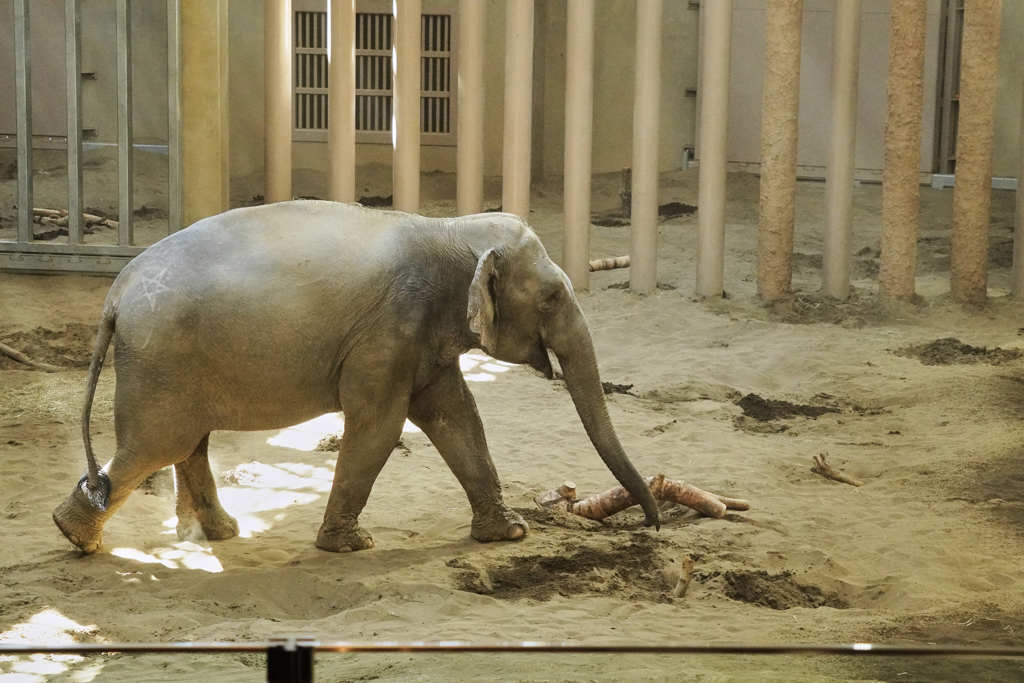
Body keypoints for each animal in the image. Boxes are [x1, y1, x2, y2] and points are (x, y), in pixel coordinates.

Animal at [54, 200, 663, 552]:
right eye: (553, 297)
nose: (653, 526)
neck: (450, 229)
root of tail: (117, 292)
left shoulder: (421, 338)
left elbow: (457, 418)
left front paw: (508, 534)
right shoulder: (388, 331)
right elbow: (380, 426)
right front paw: (347, 546)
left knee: (188, 443)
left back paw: (215, 535)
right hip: (161, 358)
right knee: (157, 444)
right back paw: (78, 536)